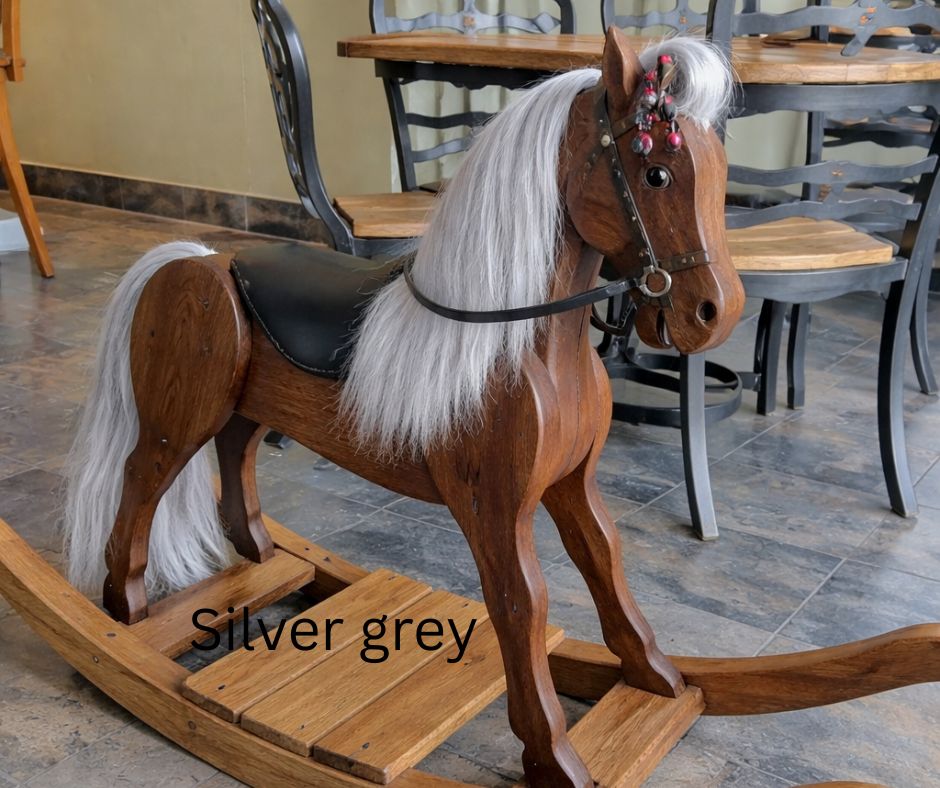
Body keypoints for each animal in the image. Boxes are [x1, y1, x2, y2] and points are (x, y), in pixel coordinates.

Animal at [63, 28, 742, 786]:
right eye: (655, 175)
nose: (713, 314)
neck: (519, 344)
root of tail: (197, 257)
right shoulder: (493, 509)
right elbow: (522, 603)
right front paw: (553, 754)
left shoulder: (572, 482)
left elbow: (605, 559)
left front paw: (656, 676)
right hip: (178, 417)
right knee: (141, 478)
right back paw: (125, 604)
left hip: (246, 409)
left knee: (235, 456)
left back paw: (260, 552)